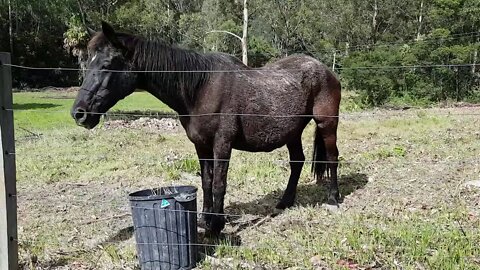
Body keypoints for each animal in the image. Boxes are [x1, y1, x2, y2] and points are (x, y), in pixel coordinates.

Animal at [71, 21, 342, 235]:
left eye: (107, 65)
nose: (79, 113)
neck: (201, 88)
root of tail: (325, 70)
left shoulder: (222, 143)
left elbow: (220, 183)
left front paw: (216, 226)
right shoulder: (201, 145)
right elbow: (206, 182)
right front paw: (205, 219)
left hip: (327, 124)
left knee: (332, 157)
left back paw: (333, 198)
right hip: (292, 131)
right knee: (297, 161)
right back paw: (285, 201)